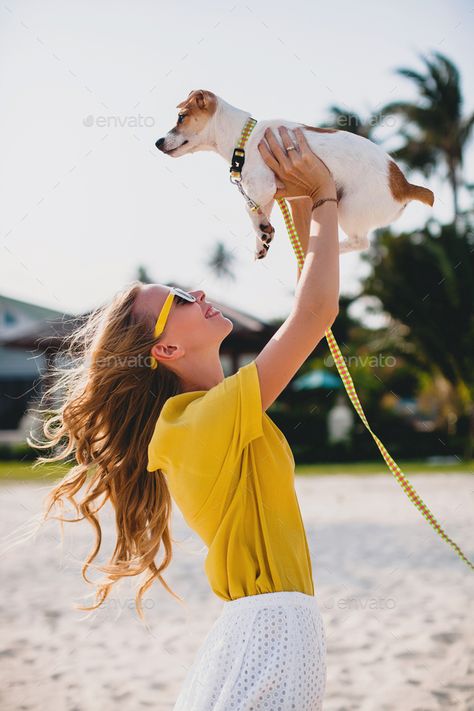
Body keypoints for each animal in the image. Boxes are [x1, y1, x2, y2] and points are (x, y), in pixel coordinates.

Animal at [156, 89, 434, 262]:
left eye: (181, 117)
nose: (157, 143)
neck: (243, 139)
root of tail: (403, 184)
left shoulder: (261, 187)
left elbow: (249, 209)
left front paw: (262, 232)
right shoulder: (265, 193)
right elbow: (259, 213)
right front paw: (262, 239)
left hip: (350, 208)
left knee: (360, 242)